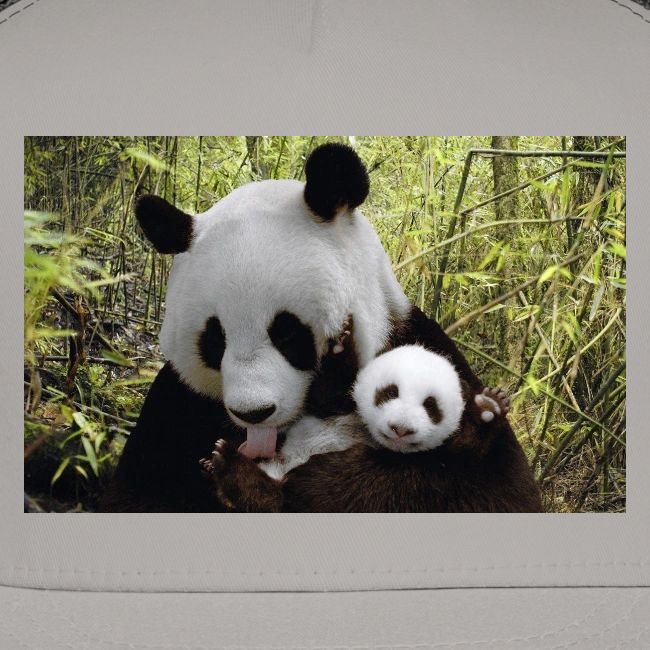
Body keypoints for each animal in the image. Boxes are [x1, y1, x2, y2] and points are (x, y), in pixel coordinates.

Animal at [100, 143, 540, 513]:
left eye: (287, 333)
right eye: (215, 340)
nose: (254, 413)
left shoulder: (422, 347)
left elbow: (489, 488)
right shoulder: (178, 405)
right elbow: (138, 493)